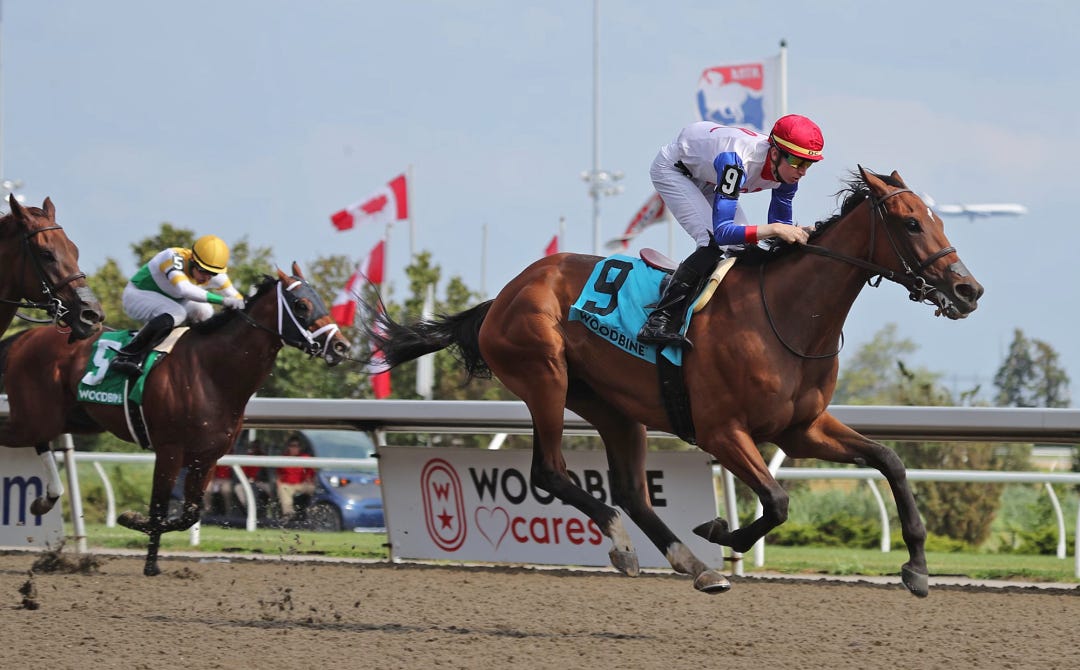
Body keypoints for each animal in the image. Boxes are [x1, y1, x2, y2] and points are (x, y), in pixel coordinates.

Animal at [0, 263, 351, 575]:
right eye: (301, 305)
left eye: (320, 300)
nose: (341, 346)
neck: (212, 371)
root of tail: (24, 337)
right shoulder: (170, 450)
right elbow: (159, 506)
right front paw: (149, 561)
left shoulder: (206, 457)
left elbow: (189, 515)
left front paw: (132, 521)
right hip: (34, 416)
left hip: (69, 419)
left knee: (42, 441)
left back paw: (45, 499)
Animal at [363, 167, 983, 598]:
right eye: (911, 222)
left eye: (940, 220)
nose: (968, 290)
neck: (784, 314)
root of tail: (502, 297)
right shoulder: (720, 431)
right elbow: (778, 501)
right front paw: (722, 530)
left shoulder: (801, 428)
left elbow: (890, 462)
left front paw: (917, 568)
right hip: (545, 377)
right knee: (552, 472)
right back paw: (627, 545)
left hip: (613, 407)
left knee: (632, 492)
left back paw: (694, 567)